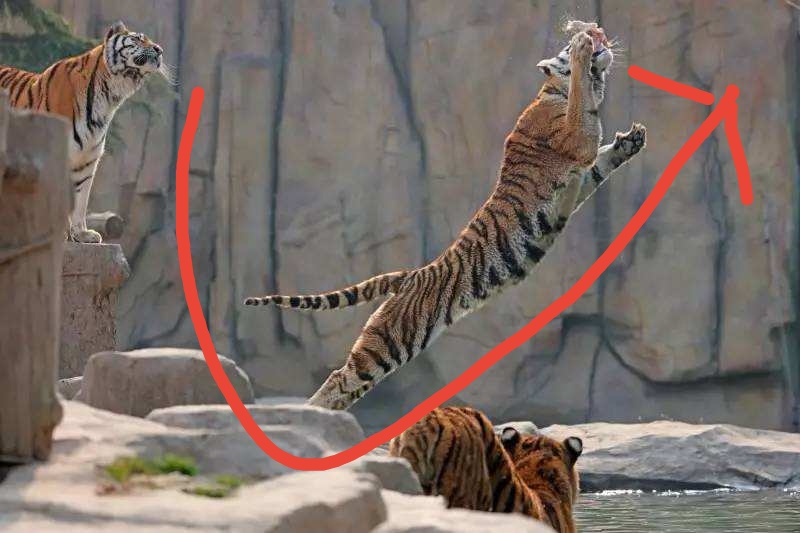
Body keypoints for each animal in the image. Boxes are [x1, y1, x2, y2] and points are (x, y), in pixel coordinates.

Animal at [0, 21, 170, 243]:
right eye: (138, 38)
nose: (160, 50)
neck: (109, 95)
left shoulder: (87, 159)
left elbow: (81, 199)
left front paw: (82, 233)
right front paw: (60, 233)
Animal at [244, 20, 647, 410]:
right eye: (567, 42)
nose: (591, 30)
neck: (553, 90)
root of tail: (409, 276)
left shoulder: (581, 177)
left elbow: (604, 162)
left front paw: (632, 140)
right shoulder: (575, 141)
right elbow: (584, 106)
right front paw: (582, 53)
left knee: (349, 386)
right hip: (390, 338)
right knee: (339, 378)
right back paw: (314, 416)